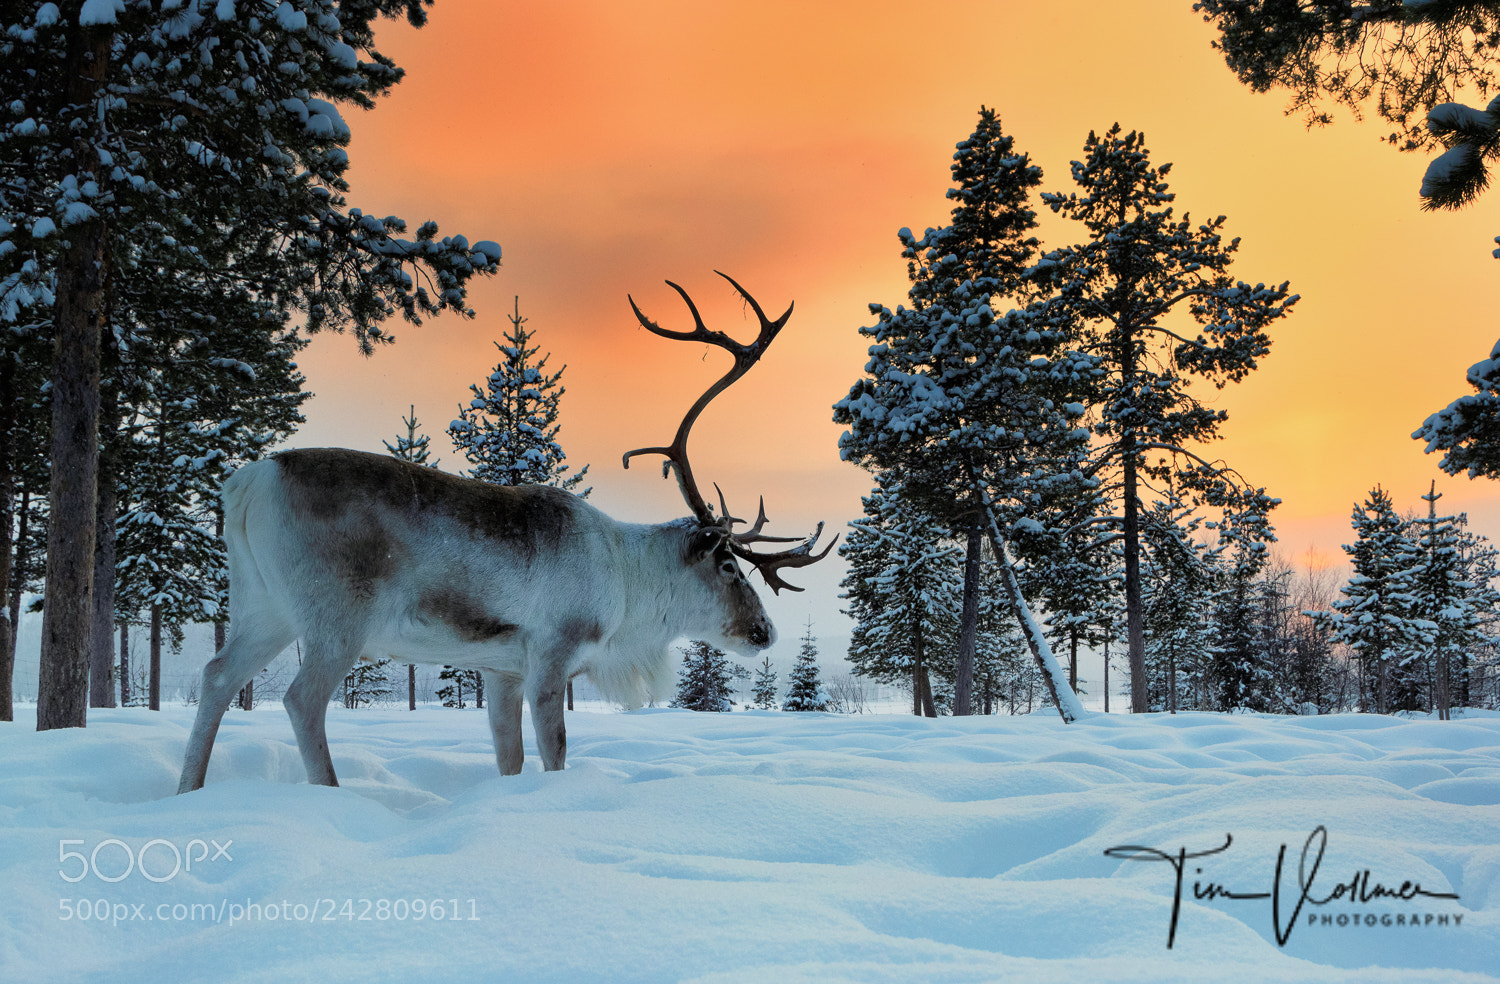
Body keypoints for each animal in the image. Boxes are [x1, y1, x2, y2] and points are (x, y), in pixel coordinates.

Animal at [177, 273, 833, 793]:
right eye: (728, 565)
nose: (765, 631)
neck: (626, 587)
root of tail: (249, 481)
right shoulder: (552, 652)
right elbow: (556, 752)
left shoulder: (500, 669)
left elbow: (509, 758)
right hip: (335, 613)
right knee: (300, 699)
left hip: (262, 604)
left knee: (216, 675)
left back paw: (188, 792)